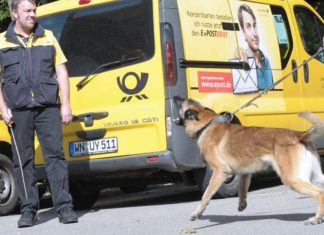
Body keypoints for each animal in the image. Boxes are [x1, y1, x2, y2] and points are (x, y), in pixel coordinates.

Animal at [175, 97, 324, 224]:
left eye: (181, 102)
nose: (175, 97)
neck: (206, 124)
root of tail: (299, 135)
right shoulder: (244, 173)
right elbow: (242, 190)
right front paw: (242, 205)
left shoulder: (219, 172)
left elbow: (206, 195)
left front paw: (197, 213)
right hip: (315, 176)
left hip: (292, 179)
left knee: (319, 193)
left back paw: (316, 218)